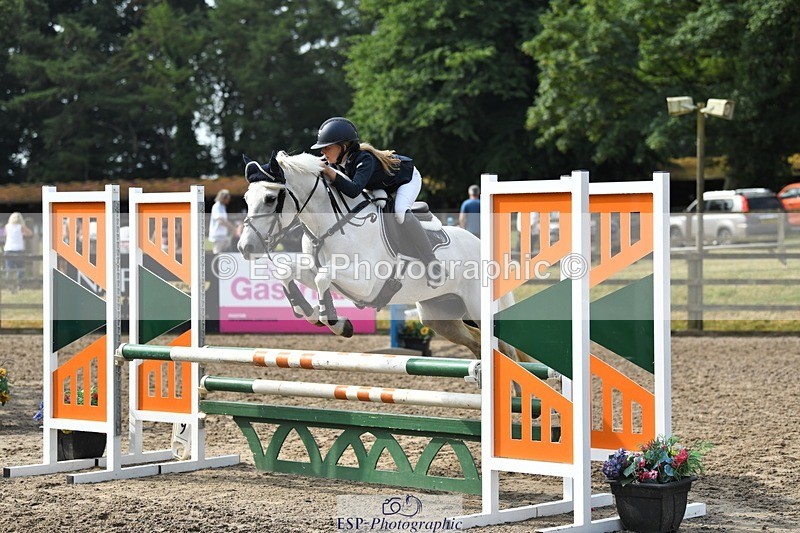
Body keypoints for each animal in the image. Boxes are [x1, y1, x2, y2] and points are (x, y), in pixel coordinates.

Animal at [236, 151, 525, 362]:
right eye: (246, 198)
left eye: (270, 198)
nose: (245, 248)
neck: (332, 225)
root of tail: (480, 244)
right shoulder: (314, 267)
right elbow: (289, 271)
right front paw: (309, 312)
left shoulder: (366, 283)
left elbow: (323, 278)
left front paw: (336, 322)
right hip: (439, 316)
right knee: (477, 344)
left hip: (478, 308)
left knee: (505, 350)